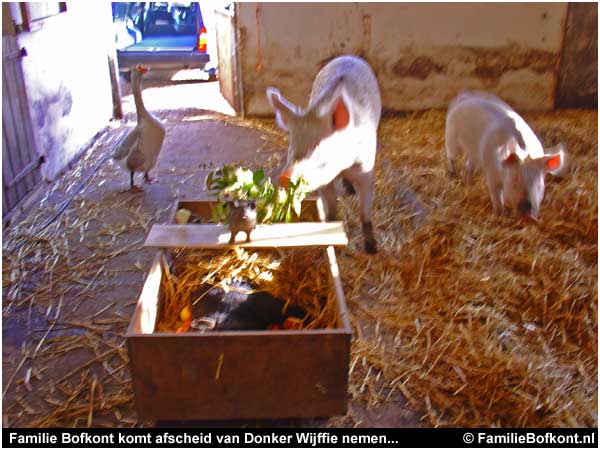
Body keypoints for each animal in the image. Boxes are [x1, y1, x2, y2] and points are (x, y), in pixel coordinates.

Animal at [266, 55, 380, 253]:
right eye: (292, 143)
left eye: (316, 145)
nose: (285, 177)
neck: (343, 165)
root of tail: (347, 56)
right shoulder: (324, 182)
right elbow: (331, 208)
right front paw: (331, 229)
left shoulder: (366, 169)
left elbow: (365, 211)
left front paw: (372, 249)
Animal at [442, 91, 564, 221]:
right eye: (514, 181)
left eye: (539, 184)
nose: (529, 216)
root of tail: (464, 96)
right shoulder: (492, 173)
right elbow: (496, 197)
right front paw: (499, 214)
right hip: (451, 137)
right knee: (451, 156)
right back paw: (453, 174)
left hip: (475, 153)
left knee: (468, 166)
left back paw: (468, 183)